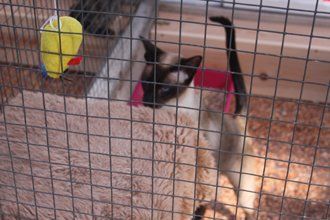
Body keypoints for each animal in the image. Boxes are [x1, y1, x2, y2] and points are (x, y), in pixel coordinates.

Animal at [139, 16, 258, 219]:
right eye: (146, 83)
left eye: (165, 89)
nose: (147, 101)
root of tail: (237, 119)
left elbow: (195, 203)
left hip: (240, 188)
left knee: (248, 208)